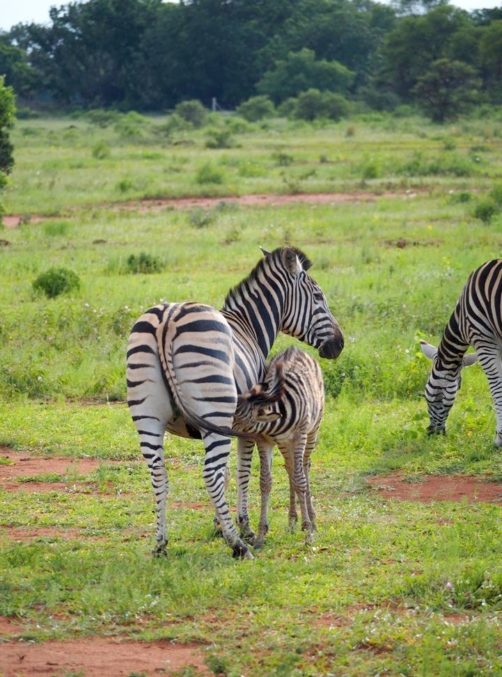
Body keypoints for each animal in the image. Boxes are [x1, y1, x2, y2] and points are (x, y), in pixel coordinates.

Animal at [234, 346, 324, 547]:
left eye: (239, 420)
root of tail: (296, 349)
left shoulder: (299, 436)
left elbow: (300, 481)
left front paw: (308, 532)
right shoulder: (264, 441)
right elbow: (265, 482)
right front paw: (261, 534)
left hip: (312, 431)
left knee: (304, 467)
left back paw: (312, 520)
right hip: (285, 443)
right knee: (290, 468)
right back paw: (292, 521)